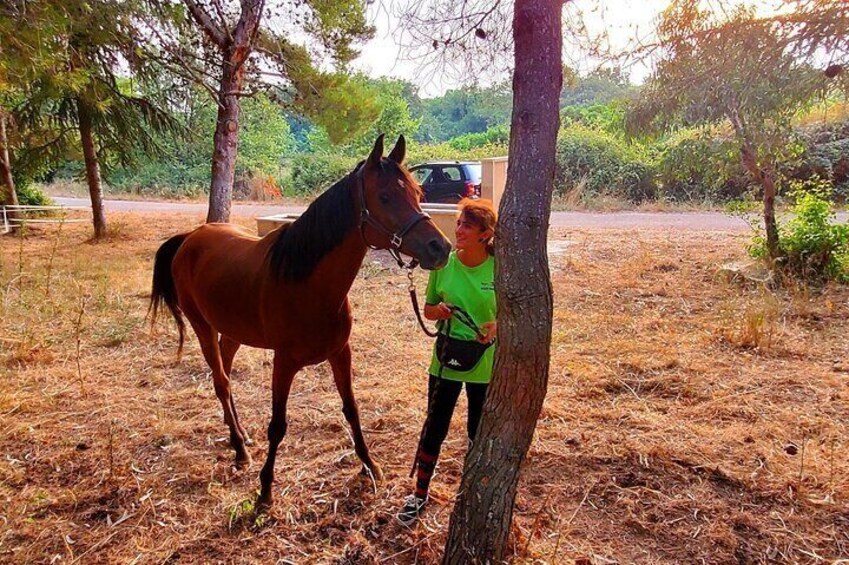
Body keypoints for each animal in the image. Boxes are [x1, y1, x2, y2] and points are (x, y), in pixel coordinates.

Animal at [147, 135, 450, 506]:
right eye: (385, 197)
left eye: (419, 194)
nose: (440, 248)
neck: (308, 285)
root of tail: (190, 237)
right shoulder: (284, 363)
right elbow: (278, 424)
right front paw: (265, 489)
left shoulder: (341, 353)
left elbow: (352, 409)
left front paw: (369, 465)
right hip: (201, 325)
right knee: (220, 382)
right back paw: (239, 450)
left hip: (232, 331)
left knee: (227, 375)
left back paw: (241, 435)